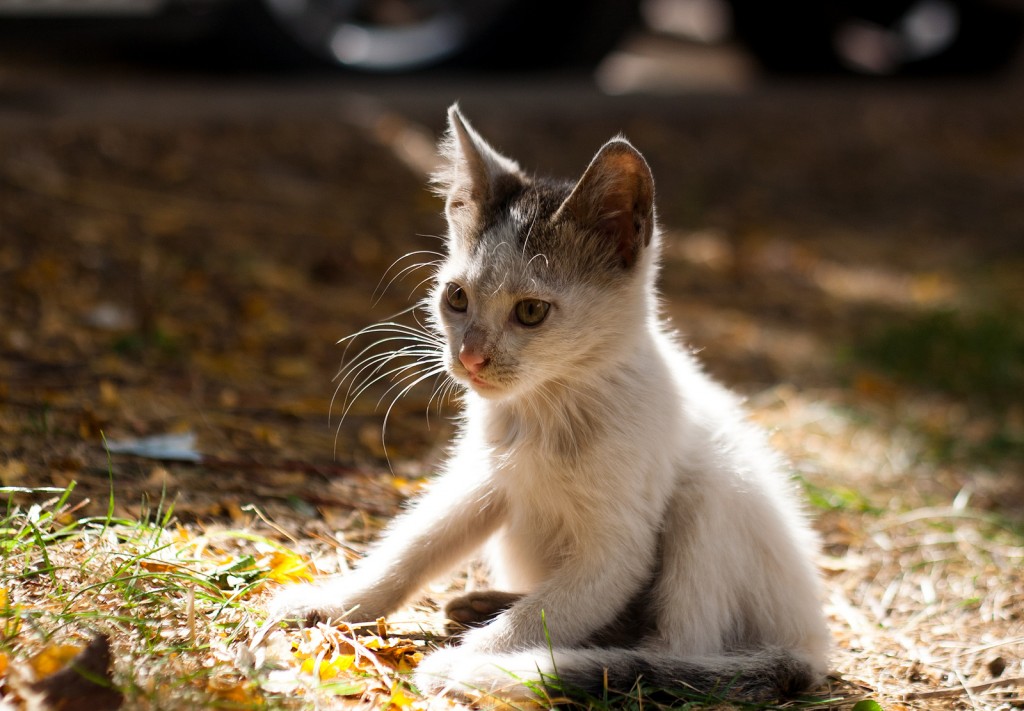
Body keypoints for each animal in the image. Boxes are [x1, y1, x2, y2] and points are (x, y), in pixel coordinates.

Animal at [268, 102, 827, 704]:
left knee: (672, 649)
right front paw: (337, 601)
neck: (547, 408)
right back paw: (483, 605)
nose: (470, 357)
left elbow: (544, 616)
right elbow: (417, 544)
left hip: (718, 489)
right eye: (456, 297)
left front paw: (470, 663)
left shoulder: (617, 553)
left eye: (531, 312)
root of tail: (813, 646)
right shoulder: (481, 478)